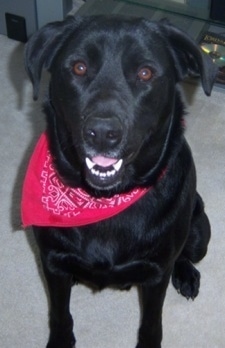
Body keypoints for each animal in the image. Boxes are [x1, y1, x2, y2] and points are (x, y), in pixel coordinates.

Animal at [23, 15, 218, 348]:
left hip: (198, 235)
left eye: (145, 73)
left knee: (184, 254)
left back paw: (186, 273)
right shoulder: (52, 263)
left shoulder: (156, 273)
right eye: (79, 67)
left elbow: (151, 324)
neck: (104, 200)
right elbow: (60, 315)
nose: (102, 133)